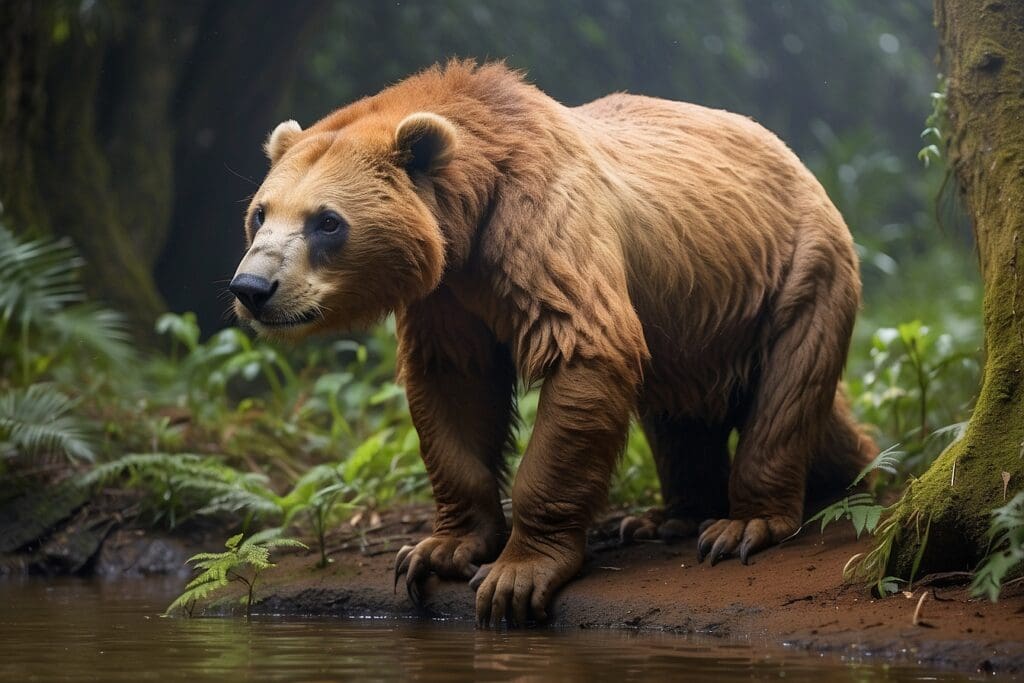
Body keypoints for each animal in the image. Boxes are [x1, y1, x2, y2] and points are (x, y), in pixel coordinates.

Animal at [229, 60, 876, 627]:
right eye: (261, 212)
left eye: (326, 221)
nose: (252, 288)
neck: (470, 215)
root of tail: (796, 161)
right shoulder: (450, 299)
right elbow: (454, 393)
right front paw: (436, 551)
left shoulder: (541, 231)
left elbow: (584, 353)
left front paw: (514, 577)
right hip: (692, 323)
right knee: (685, 416)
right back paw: (675, 516)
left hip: (795, 272)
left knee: (786, 394)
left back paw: (745, 523)